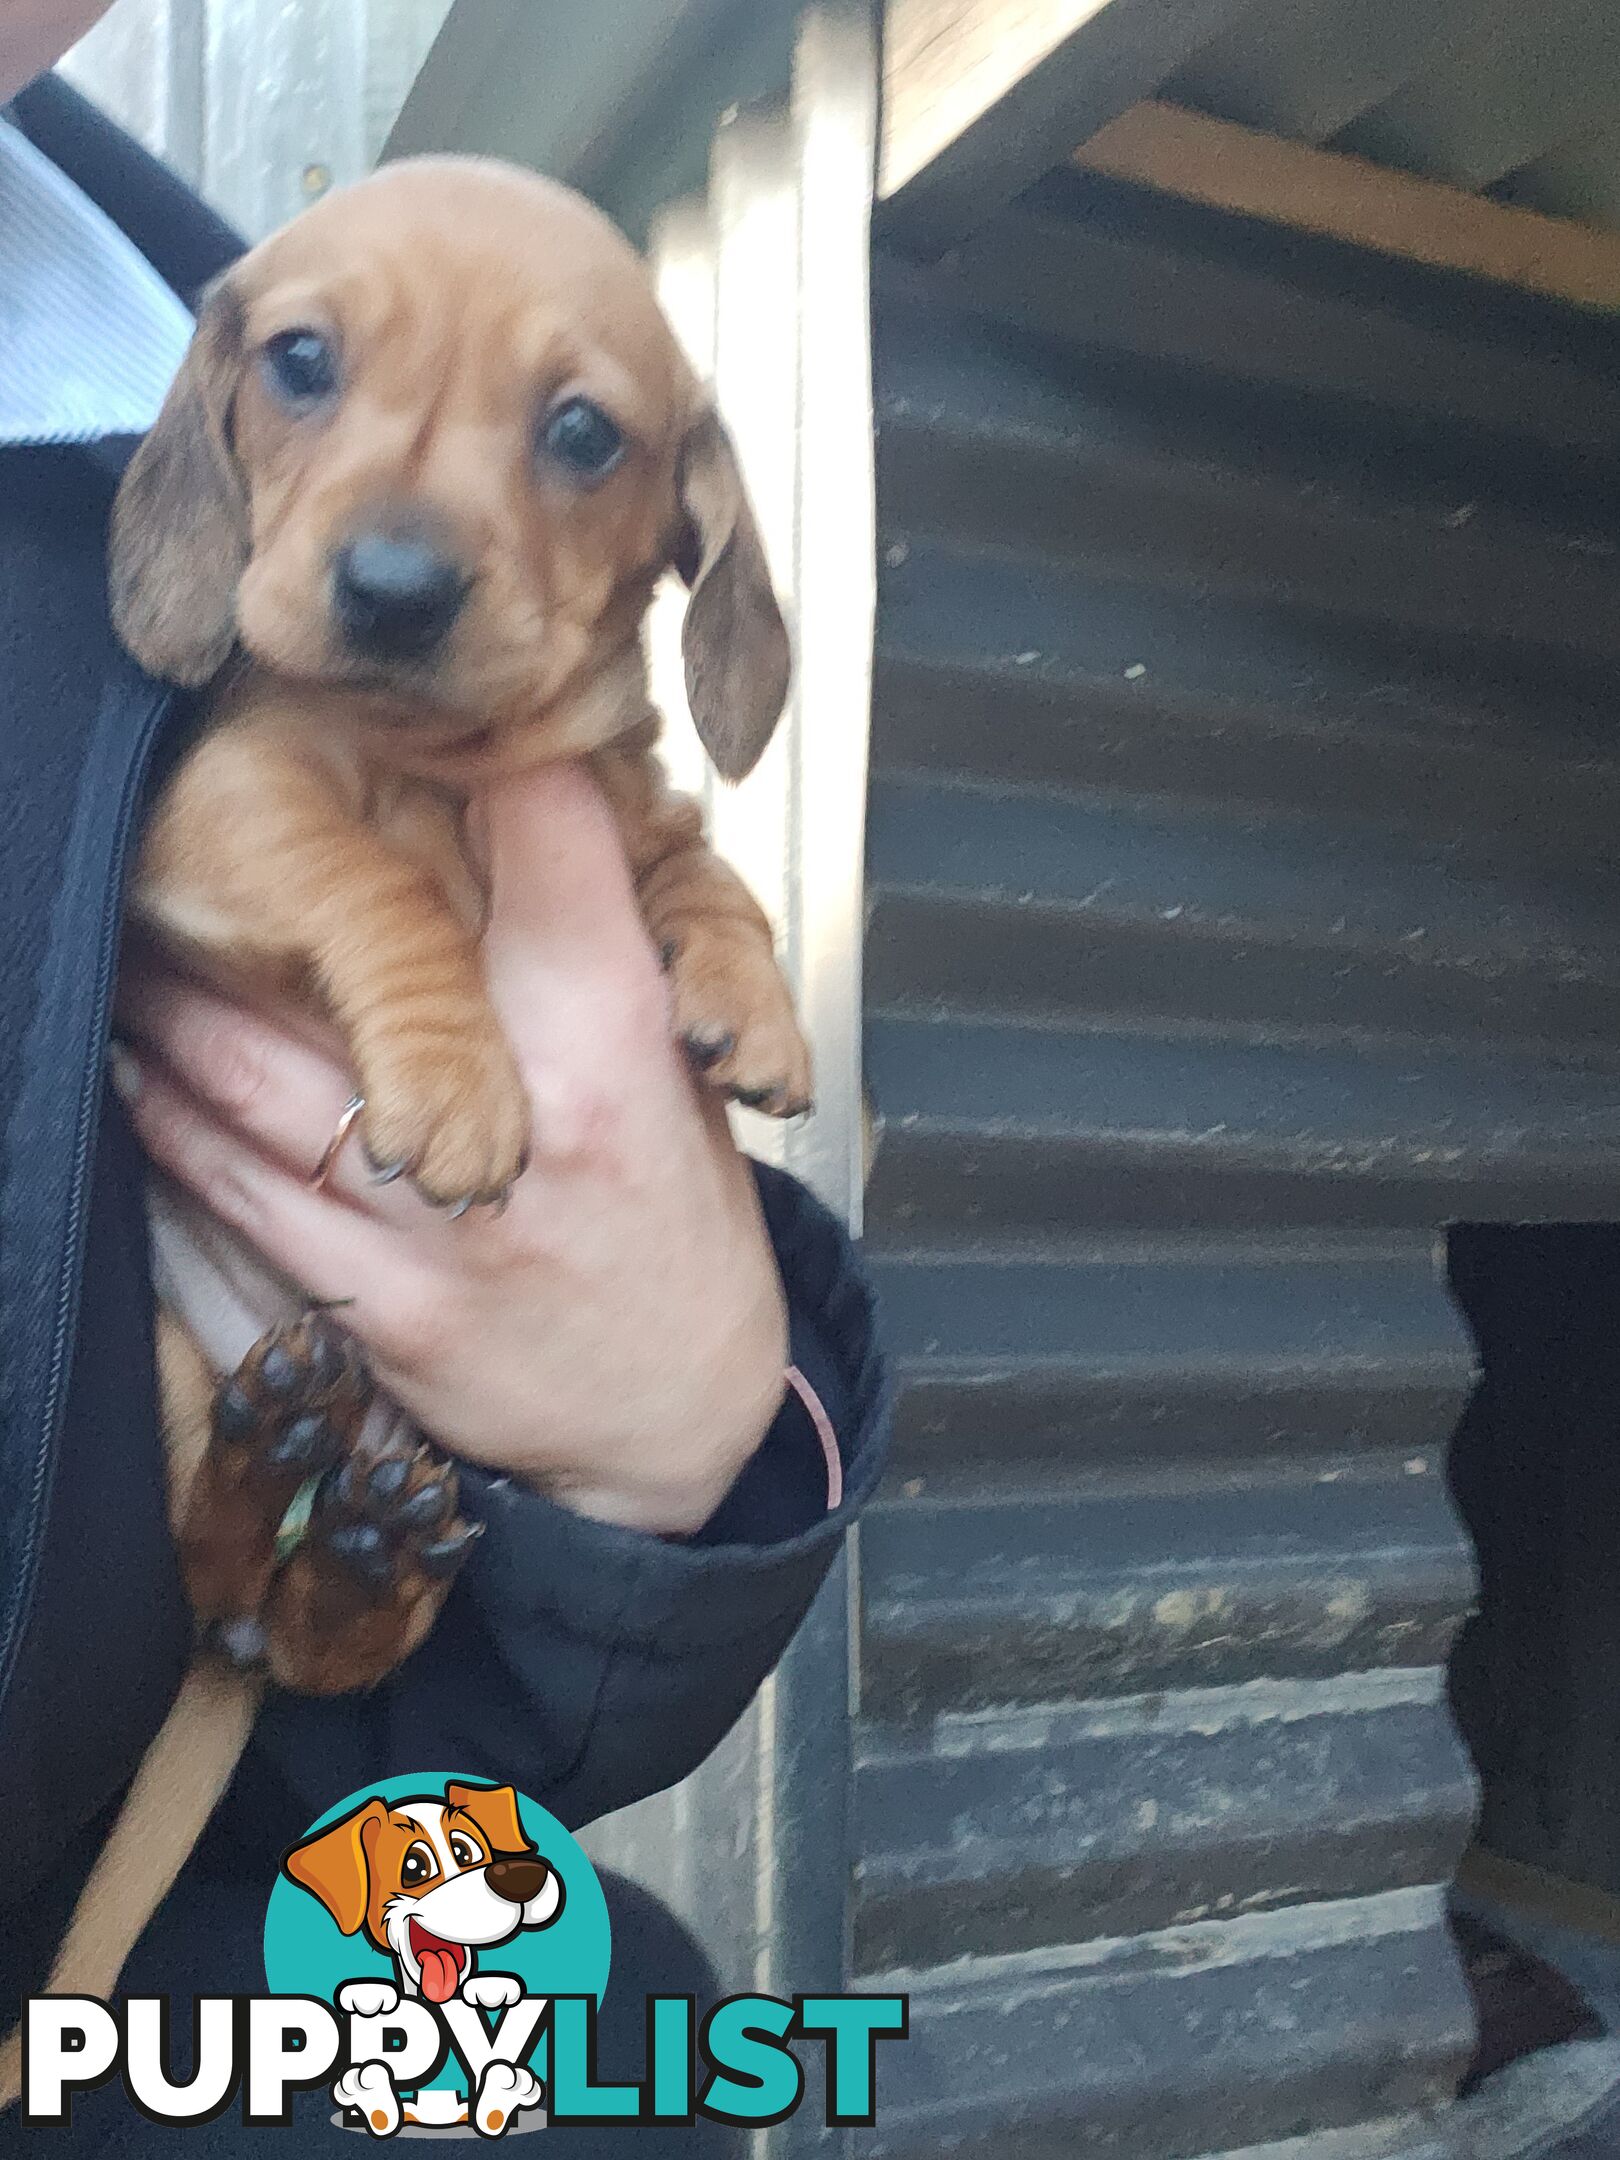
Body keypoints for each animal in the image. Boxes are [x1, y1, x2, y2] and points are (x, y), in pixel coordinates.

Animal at [0, 147, 812, 2090]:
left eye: (583, 431)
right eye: (299, 361)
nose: (389, 589)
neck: (442, 760)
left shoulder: (619, 792)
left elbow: (685, 848)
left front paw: (746, 989)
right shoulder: (224, 808)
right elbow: (365, 873)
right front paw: (457, 1079)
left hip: (464, 1485)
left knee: (325, 1636)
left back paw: (351, 1550)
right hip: (171, 1368)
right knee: (214, 1574)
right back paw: (274, 1472)